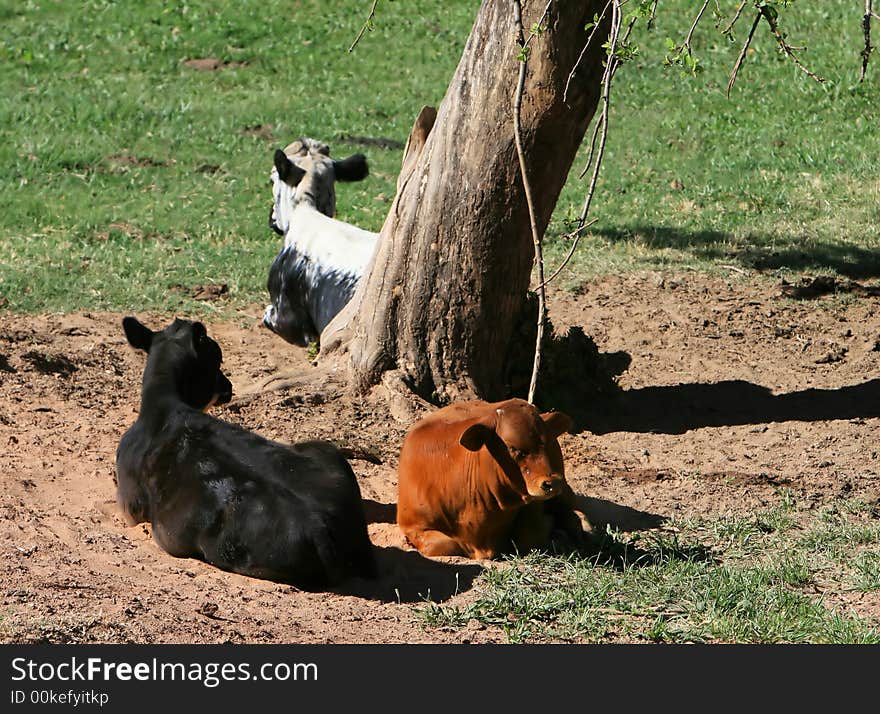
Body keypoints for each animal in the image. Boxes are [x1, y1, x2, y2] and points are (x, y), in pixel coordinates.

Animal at [398, 394, 584, 556]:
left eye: (547, 442)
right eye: (511, 447)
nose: (551, 483)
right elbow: (446, 544)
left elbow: (530, 535)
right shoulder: (411, 525)